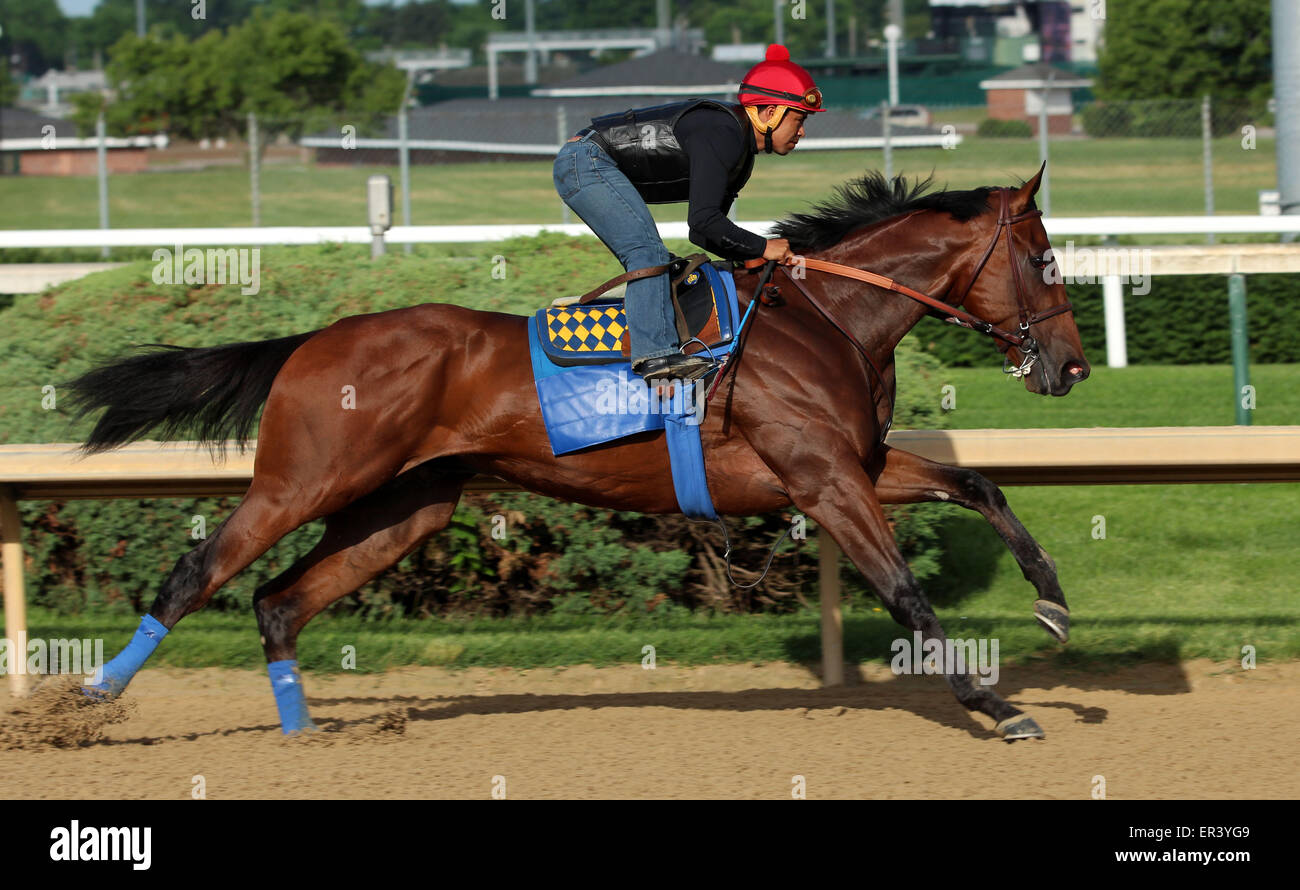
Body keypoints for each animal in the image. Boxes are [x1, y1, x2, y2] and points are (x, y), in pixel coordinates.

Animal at [68, 165, 1086, 737]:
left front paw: (1052, 605)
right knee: (197, 571)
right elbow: (909, 593)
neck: (826, 317)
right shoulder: (824, 480)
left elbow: (979, 484)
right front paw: (995, 706)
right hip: (305, 481)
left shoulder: (858, 466)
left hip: (402, 508)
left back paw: (300, 734)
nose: (1072, 365)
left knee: (279, 603)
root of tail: (313, 339)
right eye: (1044, 259)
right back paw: (87, 698)